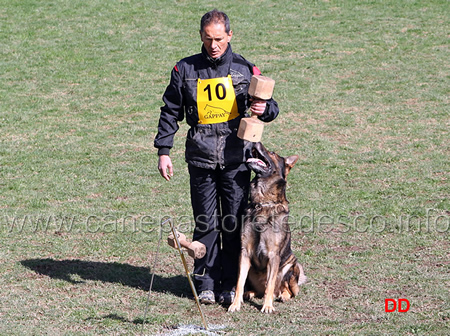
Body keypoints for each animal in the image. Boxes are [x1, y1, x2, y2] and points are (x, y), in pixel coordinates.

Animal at [229, 143, 306, 314]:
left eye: (272, 153)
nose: (254, 143)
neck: (263, 203)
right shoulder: (244, 253)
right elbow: (239, 282)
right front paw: (235, 304)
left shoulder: (273, 256)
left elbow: (270, 285)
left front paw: (267, 306)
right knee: (257, 289)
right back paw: (250, 293)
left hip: (291, 265)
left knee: (285, 289)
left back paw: (282, 295)